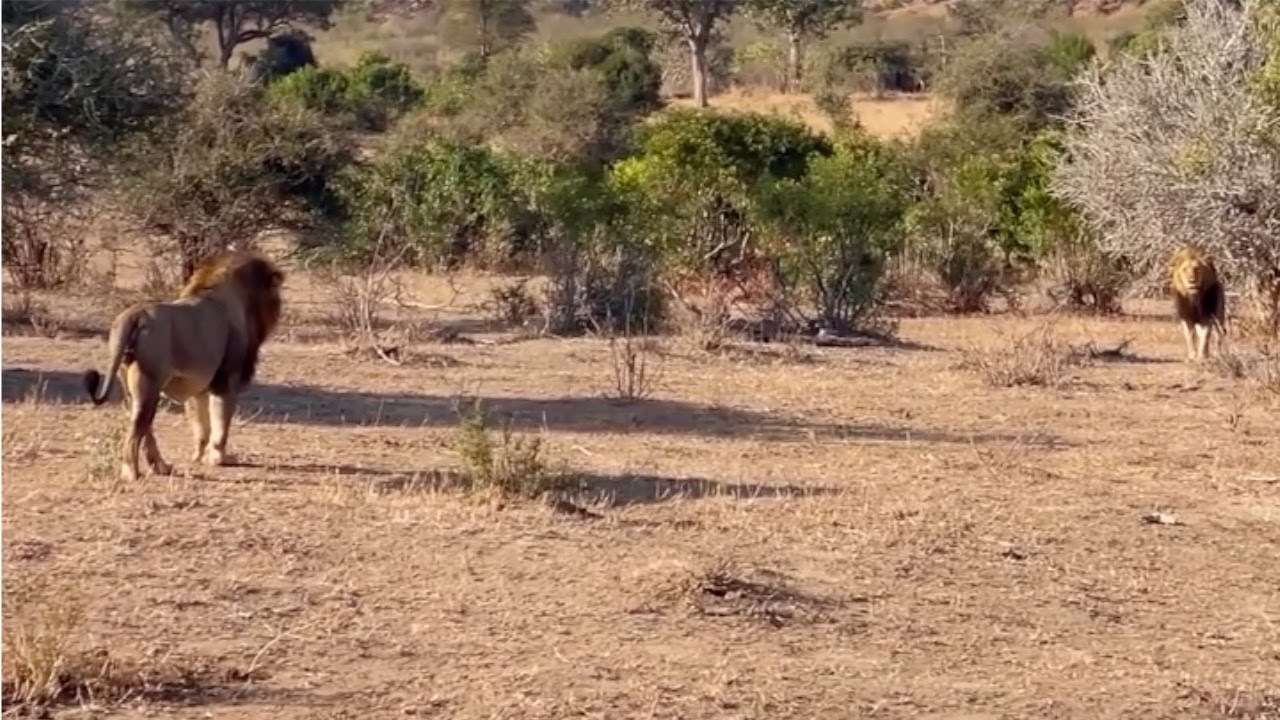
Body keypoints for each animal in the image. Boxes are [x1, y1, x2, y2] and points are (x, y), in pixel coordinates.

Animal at [83, 251, 284, 481]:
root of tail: (136, 314)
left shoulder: (200, 388)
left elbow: (202, 425)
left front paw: (199, 456)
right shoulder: (227, 380)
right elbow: (221, 422)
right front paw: (219, 458)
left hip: (130, 384)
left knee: (143, 427)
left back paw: (161, 466)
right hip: (149, 384)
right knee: (136, 430)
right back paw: (132, 472)